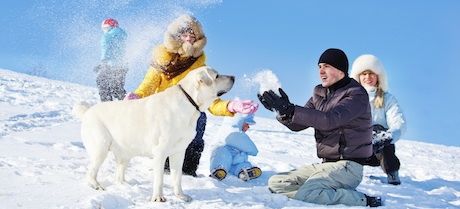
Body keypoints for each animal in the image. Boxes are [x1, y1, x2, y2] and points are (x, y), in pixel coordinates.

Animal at [73, 66, 235, 202]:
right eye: (217, 76)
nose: (233, 76)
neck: (189, 102)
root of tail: (87, 111)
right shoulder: (160, 152)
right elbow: (159, 179)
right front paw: (158, 198)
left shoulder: (179, 152)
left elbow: (177, 177)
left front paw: (180, 196)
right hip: (100, 147)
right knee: (91, 172)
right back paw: (96, 186)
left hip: (125, 153)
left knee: (119, 175)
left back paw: (126, 185)